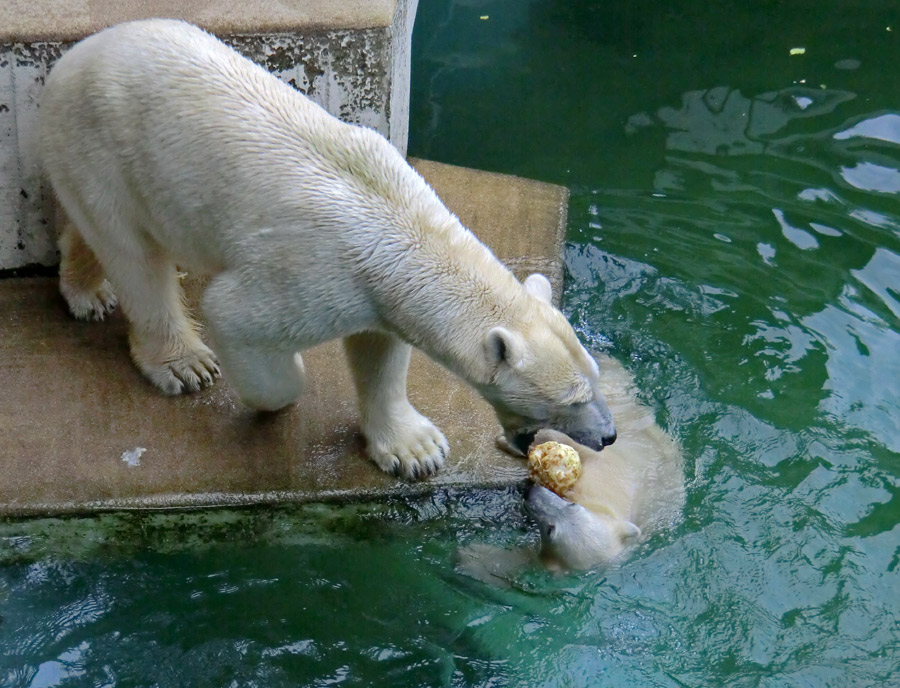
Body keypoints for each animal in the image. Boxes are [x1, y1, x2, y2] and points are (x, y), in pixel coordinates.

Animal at [40, 17, 620, 478]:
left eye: (595, 376)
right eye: (572, 398)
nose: (609, 436)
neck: (399, 225)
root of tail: (74, 56)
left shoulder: (381, 290)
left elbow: (381, 351)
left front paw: (415, 450)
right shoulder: (313, 275)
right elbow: (234, 315)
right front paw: (280, 385)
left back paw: (88, 289)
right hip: (102, 144)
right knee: (134, 255)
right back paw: (183, 362)